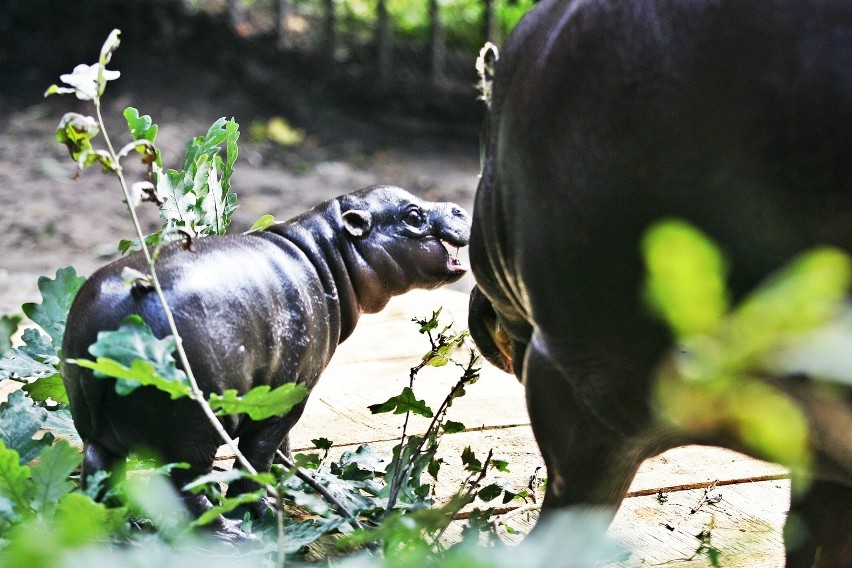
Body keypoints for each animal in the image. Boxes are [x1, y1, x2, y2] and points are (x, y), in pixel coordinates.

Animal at [62, 185, 470, 536]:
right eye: (413, 215)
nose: (459, 207)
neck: (328, 255)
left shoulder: (284, 392)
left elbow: (282, 449)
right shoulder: (287, 400)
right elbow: (258, 458)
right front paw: (265, 510)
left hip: (96, 431)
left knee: (97, 472)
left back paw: (111, 525)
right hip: (194, 428)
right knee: (187, 488)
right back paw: (233, 534)